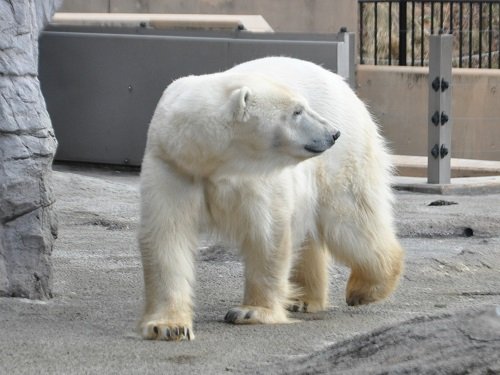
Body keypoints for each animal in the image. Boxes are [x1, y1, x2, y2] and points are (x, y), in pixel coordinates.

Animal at [139, 55, 404, 340]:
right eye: (297, 112)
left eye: (303, 107)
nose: (333, 134)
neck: (211, 160)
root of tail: (342, 84)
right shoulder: (172, 166)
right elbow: (167, 235)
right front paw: (168, 326)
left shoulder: (256, 174)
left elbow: (267, 232)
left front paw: (251, 312)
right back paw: (302, 299)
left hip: (343, 160)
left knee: (350, 220)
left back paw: (363, 289)